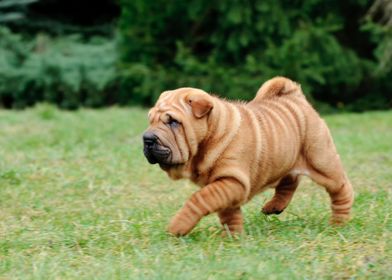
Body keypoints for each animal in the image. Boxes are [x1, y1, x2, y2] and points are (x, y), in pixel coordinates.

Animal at [142, 76, 354, 236]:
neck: (213, 134)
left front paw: (177, 227)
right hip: (284, 159)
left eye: (173, 122)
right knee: (290, 182)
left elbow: (198, 200)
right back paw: (274, 206)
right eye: (150, 120)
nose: (147, 139)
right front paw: (233, 237)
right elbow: (228, 214)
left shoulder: (231, 180)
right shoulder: (226, 185)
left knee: (341, 189)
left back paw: (338, 223)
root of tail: (297, 96)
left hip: (321, 160)